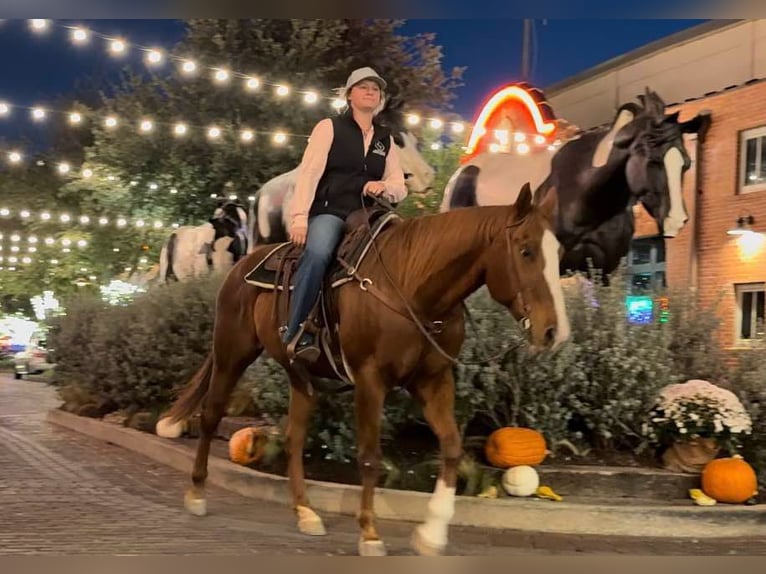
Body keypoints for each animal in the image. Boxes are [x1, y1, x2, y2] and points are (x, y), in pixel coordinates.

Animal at [160, 182, 568, 556]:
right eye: (526, 250)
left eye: (559, 252)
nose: (554, 331)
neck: (412, 286)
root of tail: (242, 265)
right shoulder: (370, 380)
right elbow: (370, 457)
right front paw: (370, 533)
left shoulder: (433, 380)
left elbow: (452, 446)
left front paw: (431, 532)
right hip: (232, 354)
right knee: (211, 415)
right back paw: (197, 493)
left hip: (299, 374)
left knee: (294, 436)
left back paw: (306, 512)